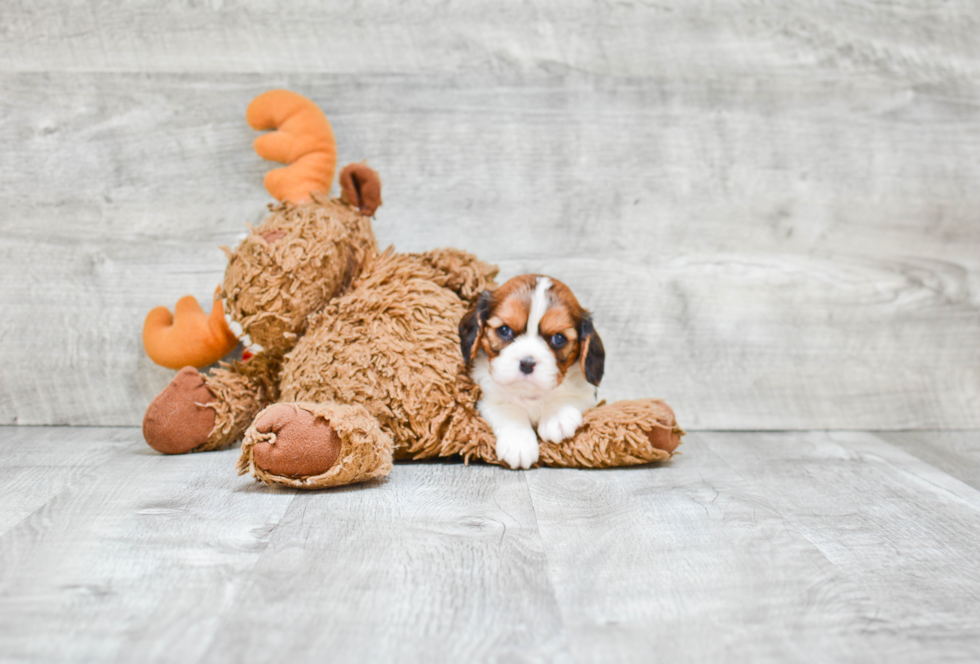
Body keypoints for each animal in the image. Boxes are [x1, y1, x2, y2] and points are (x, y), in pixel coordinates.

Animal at [460, 278, 604, 470]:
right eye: (504, 330)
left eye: (558, 338)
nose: (527, 363)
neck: (529, 393)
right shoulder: (487, 399)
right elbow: (509, 410)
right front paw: (519, 443)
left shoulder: (587, 394)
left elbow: (568, 396)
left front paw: (556, 417)